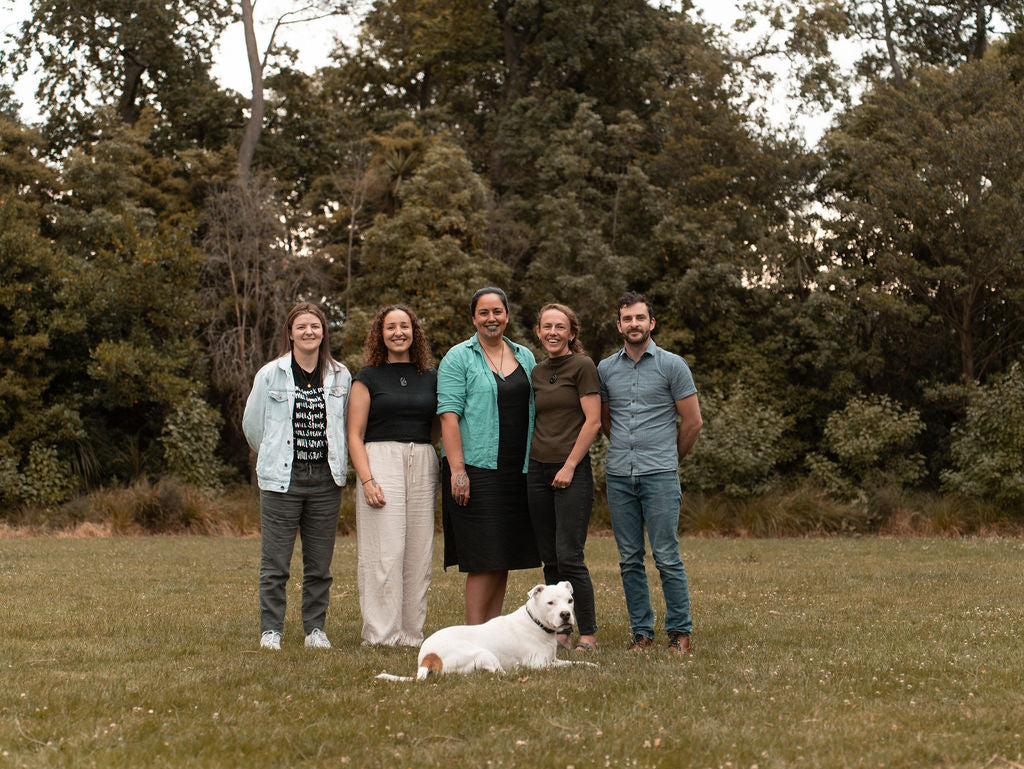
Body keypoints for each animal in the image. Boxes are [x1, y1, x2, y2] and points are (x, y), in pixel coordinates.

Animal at [376, 581, 595, 681]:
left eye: (570, 600)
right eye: (550, 603)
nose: (566, 615)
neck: (536, 622)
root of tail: (428, 657)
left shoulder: (553, 659)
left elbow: (575, 663)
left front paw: (591, 665)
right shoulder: (540, 665)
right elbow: (565, 667)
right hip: (484, 654)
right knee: (500, 672)